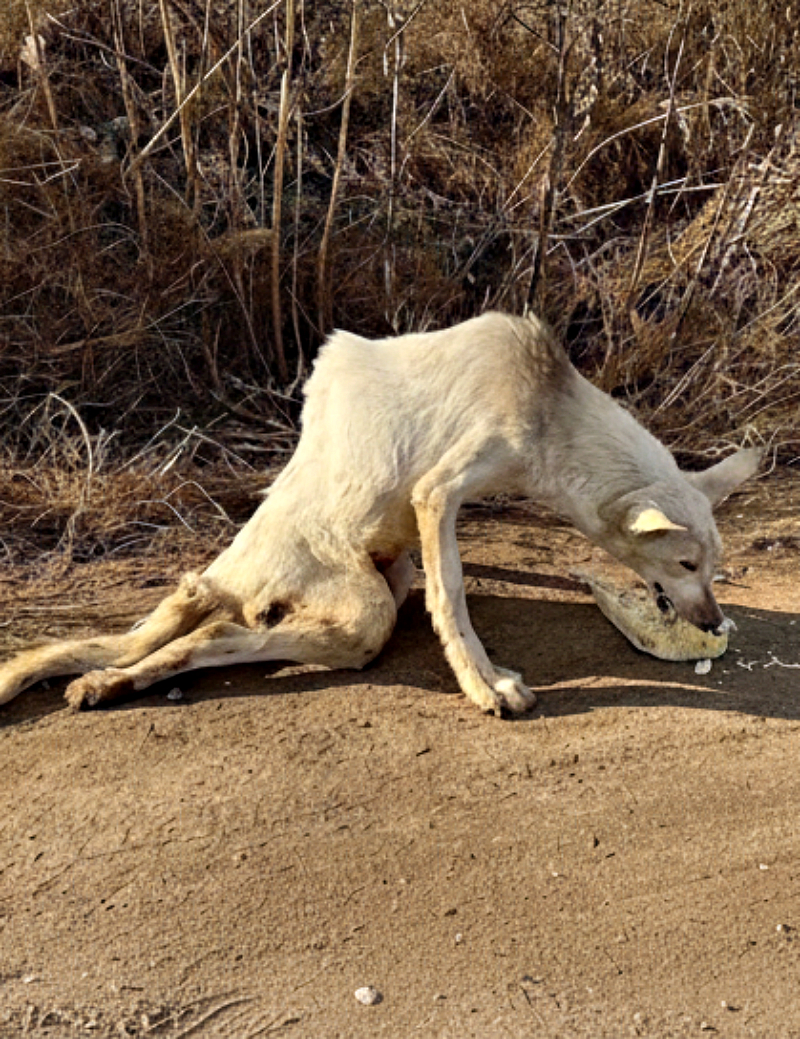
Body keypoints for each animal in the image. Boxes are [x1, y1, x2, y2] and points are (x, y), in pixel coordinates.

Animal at [0, 312, 761, 715]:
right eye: (686, 562)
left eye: (713, 568)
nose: (714, 623)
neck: (551, 407)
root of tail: (223, 573)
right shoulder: (438, 492)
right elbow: (453, 598)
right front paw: (483, 683)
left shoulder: (440, 510)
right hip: (364, 615)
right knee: (213, 631)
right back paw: (114, 679)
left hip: (377, 594)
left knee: (213, 632)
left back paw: (111, 680)